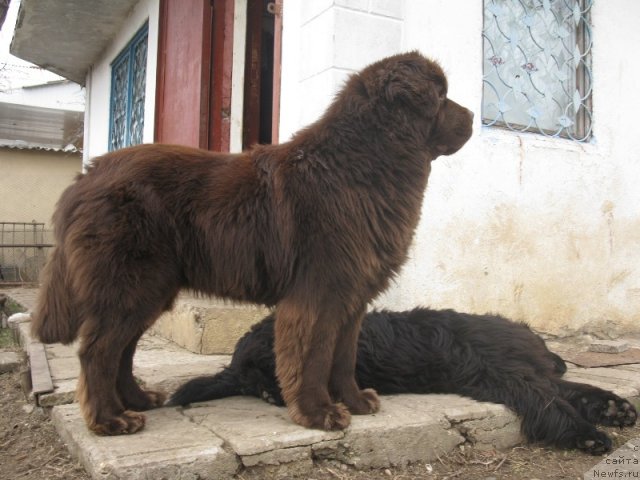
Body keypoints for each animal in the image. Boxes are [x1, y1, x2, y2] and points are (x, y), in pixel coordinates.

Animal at [32, 51, 472, 436]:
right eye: (440, 95)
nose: (471, 117)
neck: (362, 164)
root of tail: (87, 176)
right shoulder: (318, 293)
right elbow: (313, 356)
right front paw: (319, 413)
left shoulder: (352, 296)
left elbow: (343, 357)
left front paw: (355, 401)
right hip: (131, 282)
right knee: (98, 351)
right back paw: (111, 420)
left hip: (149, 289)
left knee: (122, 349)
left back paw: (138, 400)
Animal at [169, 308, 636, 454]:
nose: (558, 364)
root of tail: (239, 354)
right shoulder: (515, 378)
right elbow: (554, 405)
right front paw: (589, 435)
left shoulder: (530, 376)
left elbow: (577, 392)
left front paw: (616, 408)